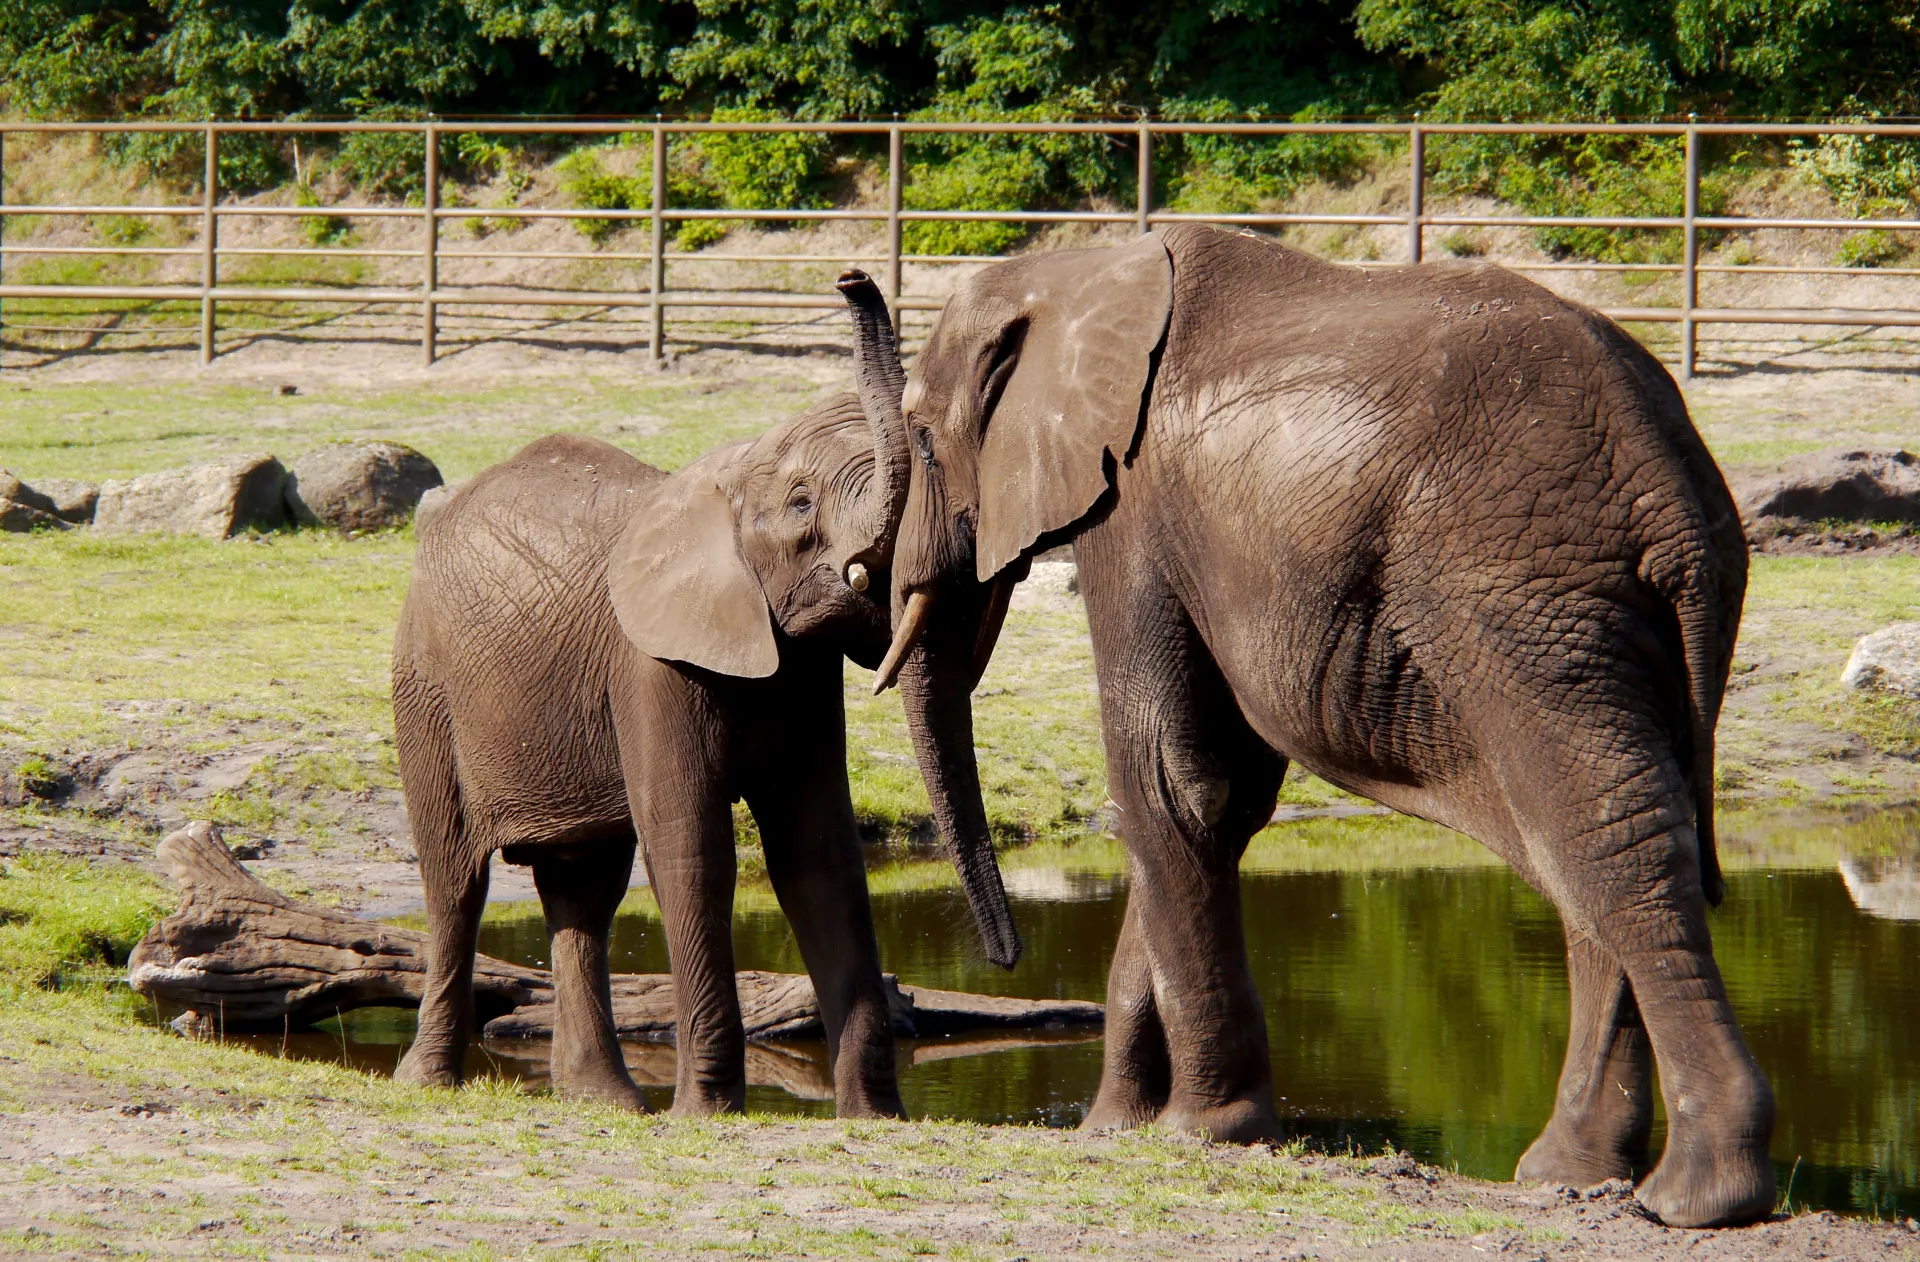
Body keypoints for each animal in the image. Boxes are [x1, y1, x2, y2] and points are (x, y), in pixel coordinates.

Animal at [388, 281, 1020, 1117]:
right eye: (800, 506)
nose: (852, 279)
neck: (731, 472)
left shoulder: (801, 666)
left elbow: (819, 849)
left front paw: (874, 1117)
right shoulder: (647, 663)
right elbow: (693, 847)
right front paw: (708, 1112)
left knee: (583, 889)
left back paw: (603, 1102)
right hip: (426, 687)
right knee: (456, 879)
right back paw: (429, 1083)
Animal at [837, 223, 1773, 1227]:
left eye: (924, 438)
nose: (1007, 961)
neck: (1078, 267)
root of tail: (1669, 483)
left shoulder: (1135, 508)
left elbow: (1170, 780)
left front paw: (1202, 1131)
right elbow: (1221, 798)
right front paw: (1114, 1131)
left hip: (1519, 594)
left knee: (1599, 827)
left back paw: (1697, 1195)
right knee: (1583, 836)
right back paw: (1569, 1174)